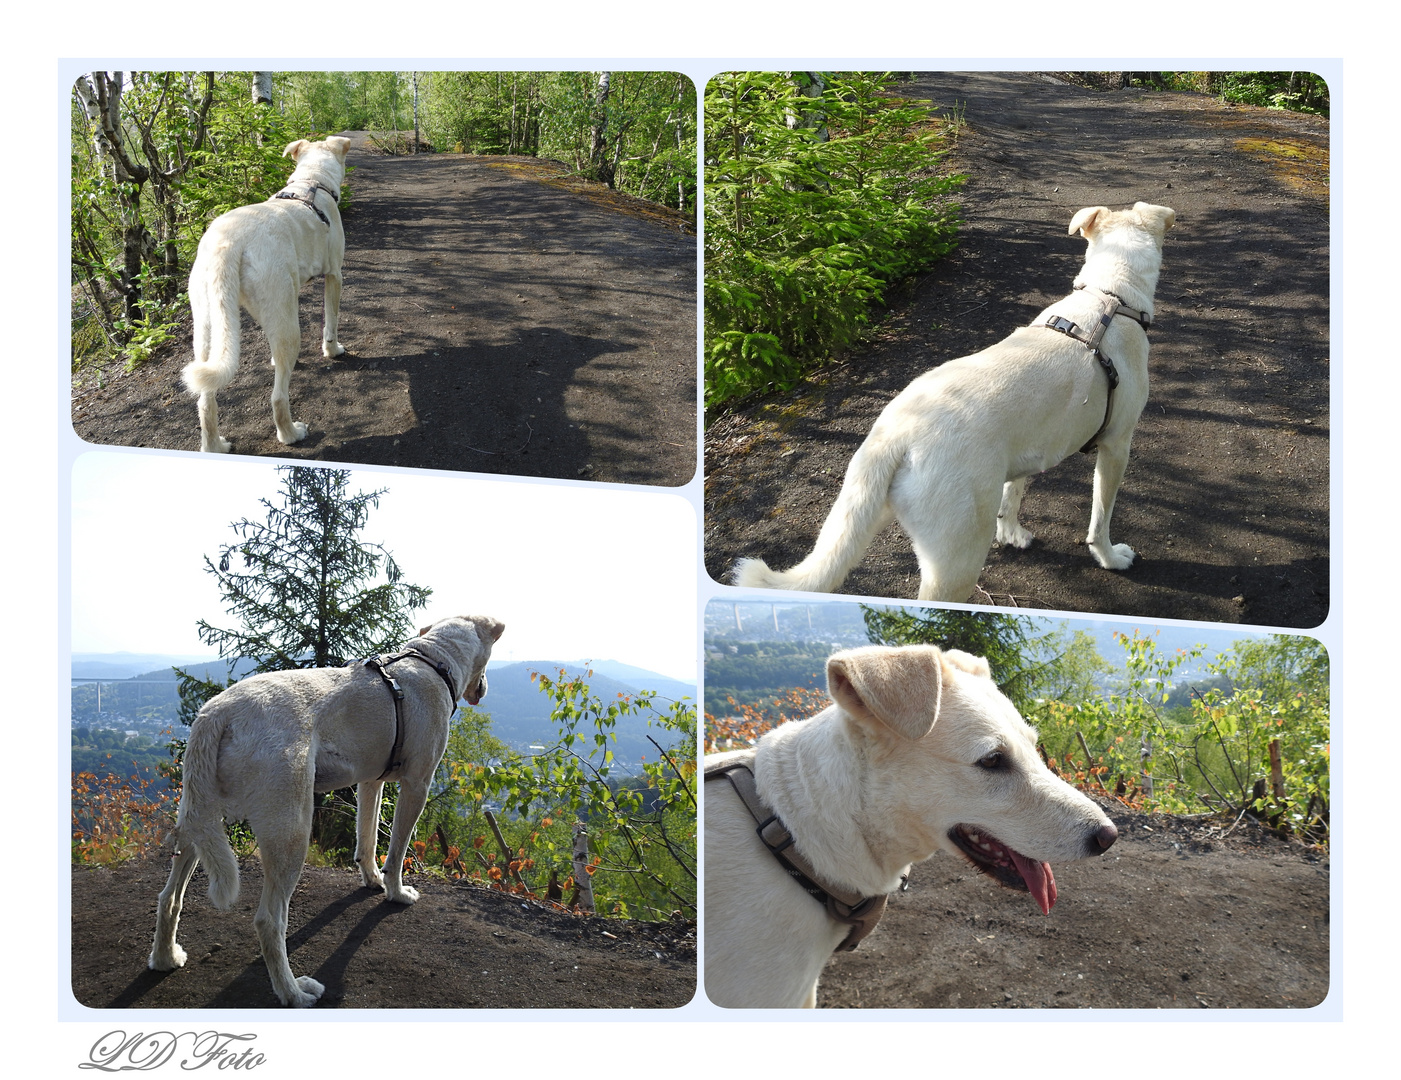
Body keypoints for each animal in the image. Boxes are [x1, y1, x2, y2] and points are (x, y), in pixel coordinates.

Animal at [147, 616, 507, 1002]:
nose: (485, 688)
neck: (433, 657)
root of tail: (217, 713)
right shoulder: (417, 785)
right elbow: (397, 851)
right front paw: (395, 893)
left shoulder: (370, 782)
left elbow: (367, 839)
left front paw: (372, 879)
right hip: (290, 830)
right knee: (269, 920)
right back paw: (294, 993)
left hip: (199, 818)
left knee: (169, 897)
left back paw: (165, 957)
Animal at [182, 136, 353, 456]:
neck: (313, 179)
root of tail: (227, 242)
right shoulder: (334, 276)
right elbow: (331, 320)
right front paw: (333, 350)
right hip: (288, 326)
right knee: (277, 397)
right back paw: (291, 433)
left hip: (207, 327)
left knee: (205, 400)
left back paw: (215, 446)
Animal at [739, 204, 1176, 599]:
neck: (1110, 296)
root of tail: (894, 437)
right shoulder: (1116, 446)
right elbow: (1101, 517)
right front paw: (1110, 557)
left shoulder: (1032, 444)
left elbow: (1013, 493)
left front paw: (1011, 532)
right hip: (956, 563)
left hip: (862, 515)